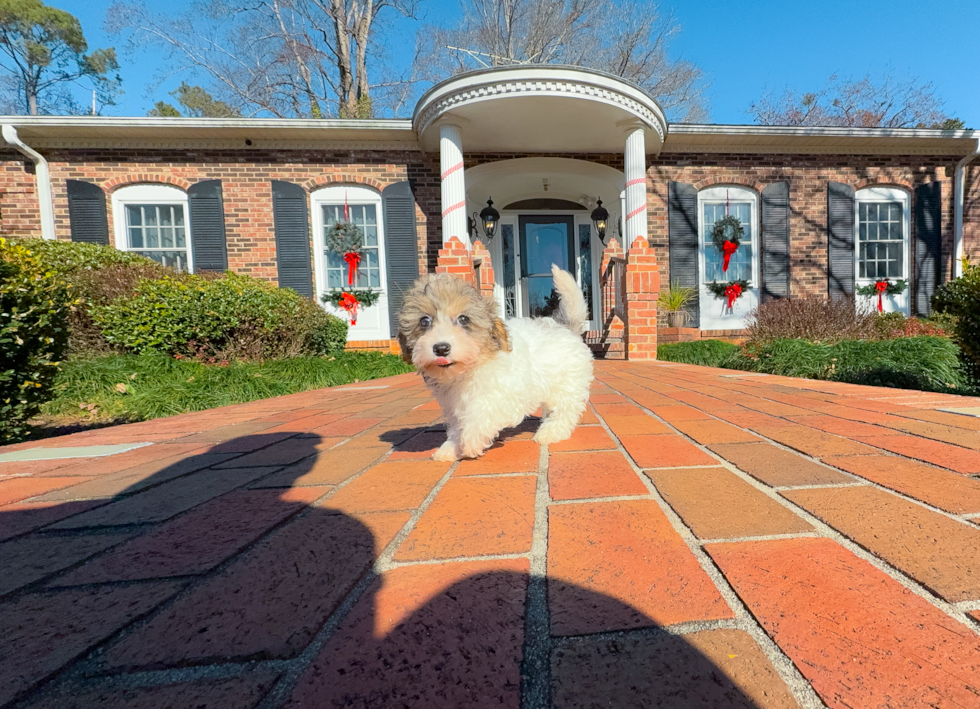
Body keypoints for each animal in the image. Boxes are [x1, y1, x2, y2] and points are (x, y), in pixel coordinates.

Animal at [396, 264, 592, 460]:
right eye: (424, 321)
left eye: (464, 319)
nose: (441, 348)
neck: (472, 367)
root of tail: (565, 327)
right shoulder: (454, 404)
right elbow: (459, 424)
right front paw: (451, 448)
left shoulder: (507, 397)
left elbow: (480, 413)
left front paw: (470, 442)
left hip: (567, 384)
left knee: (565, 409)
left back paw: (550, 432)